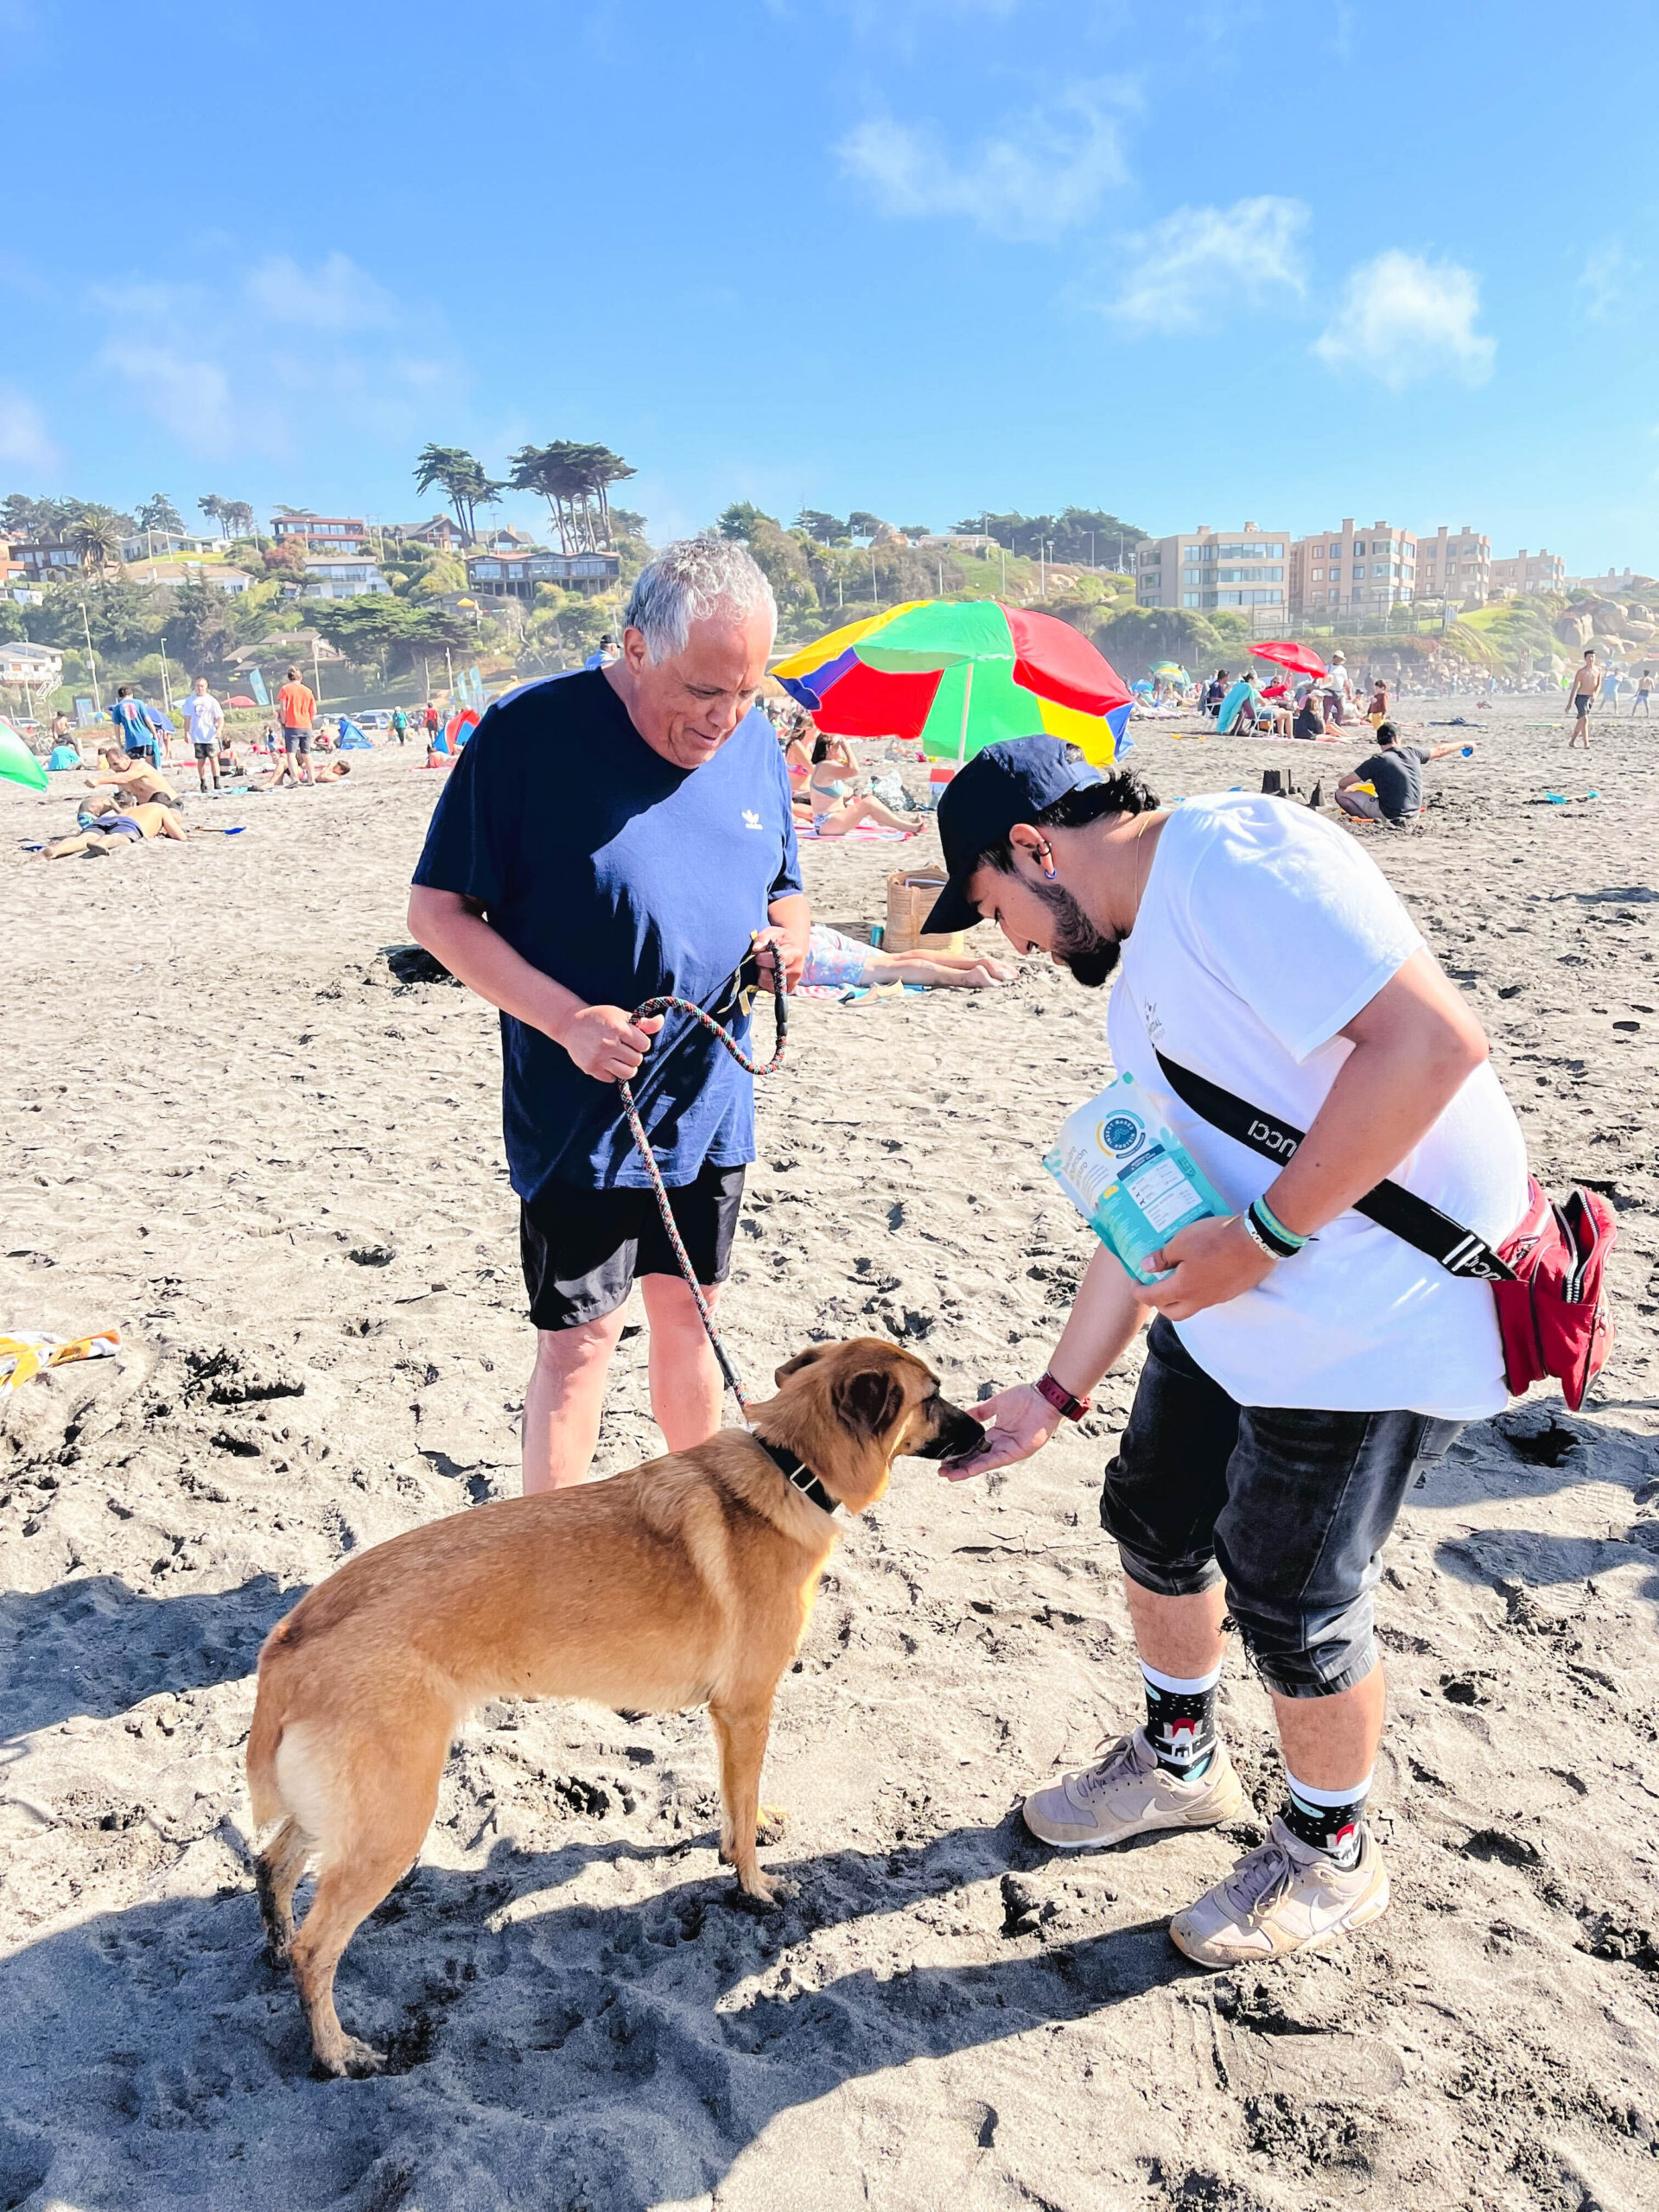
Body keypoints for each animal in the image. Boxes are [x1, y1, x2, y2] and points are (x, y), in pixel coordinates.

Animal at [246, 1337, 985, 2075]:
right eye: (933, 1396)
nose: (983, 1432)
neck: (791, 1464)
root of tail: (292, 1634)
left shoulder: (727, 1717)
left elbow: (735, 1802)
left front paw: (743, 1835)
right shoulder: (748, 1708)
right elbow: (743, 1814)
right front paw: (754, 1887)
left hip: (348, 1811)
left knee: (273, 1866)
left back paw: (276, 1946)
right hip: (393, 1822)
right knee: (319, 1949)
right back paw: (336, 2050)